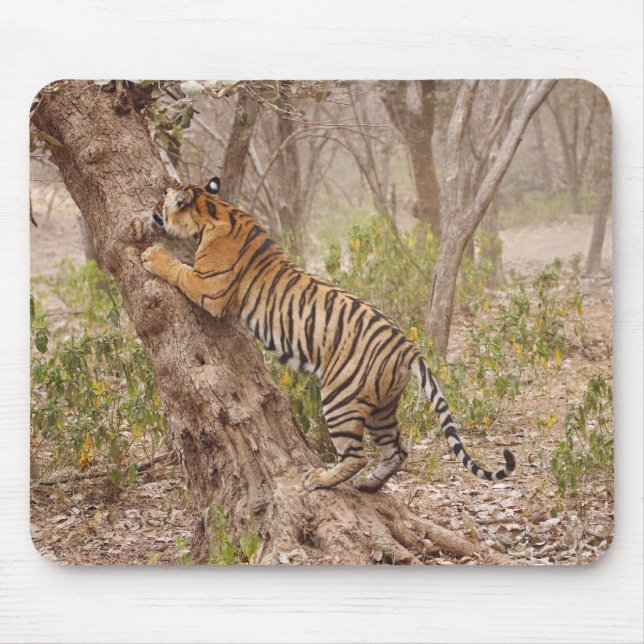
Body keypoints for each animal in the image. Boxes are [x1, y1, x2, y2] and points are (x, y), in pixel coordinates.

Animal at [141, 177, 515, 492]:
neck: (215, 208)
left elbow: (177, 270)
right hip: (383, 406)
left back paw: (320, 479)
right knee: (396, 450)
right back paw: (369, 484)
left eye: (163, 198)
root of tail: (408, 347)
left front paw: (152, 256)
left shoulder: (208, 288)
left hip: (340, 398)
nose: (151, 208)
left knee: (356, 454)